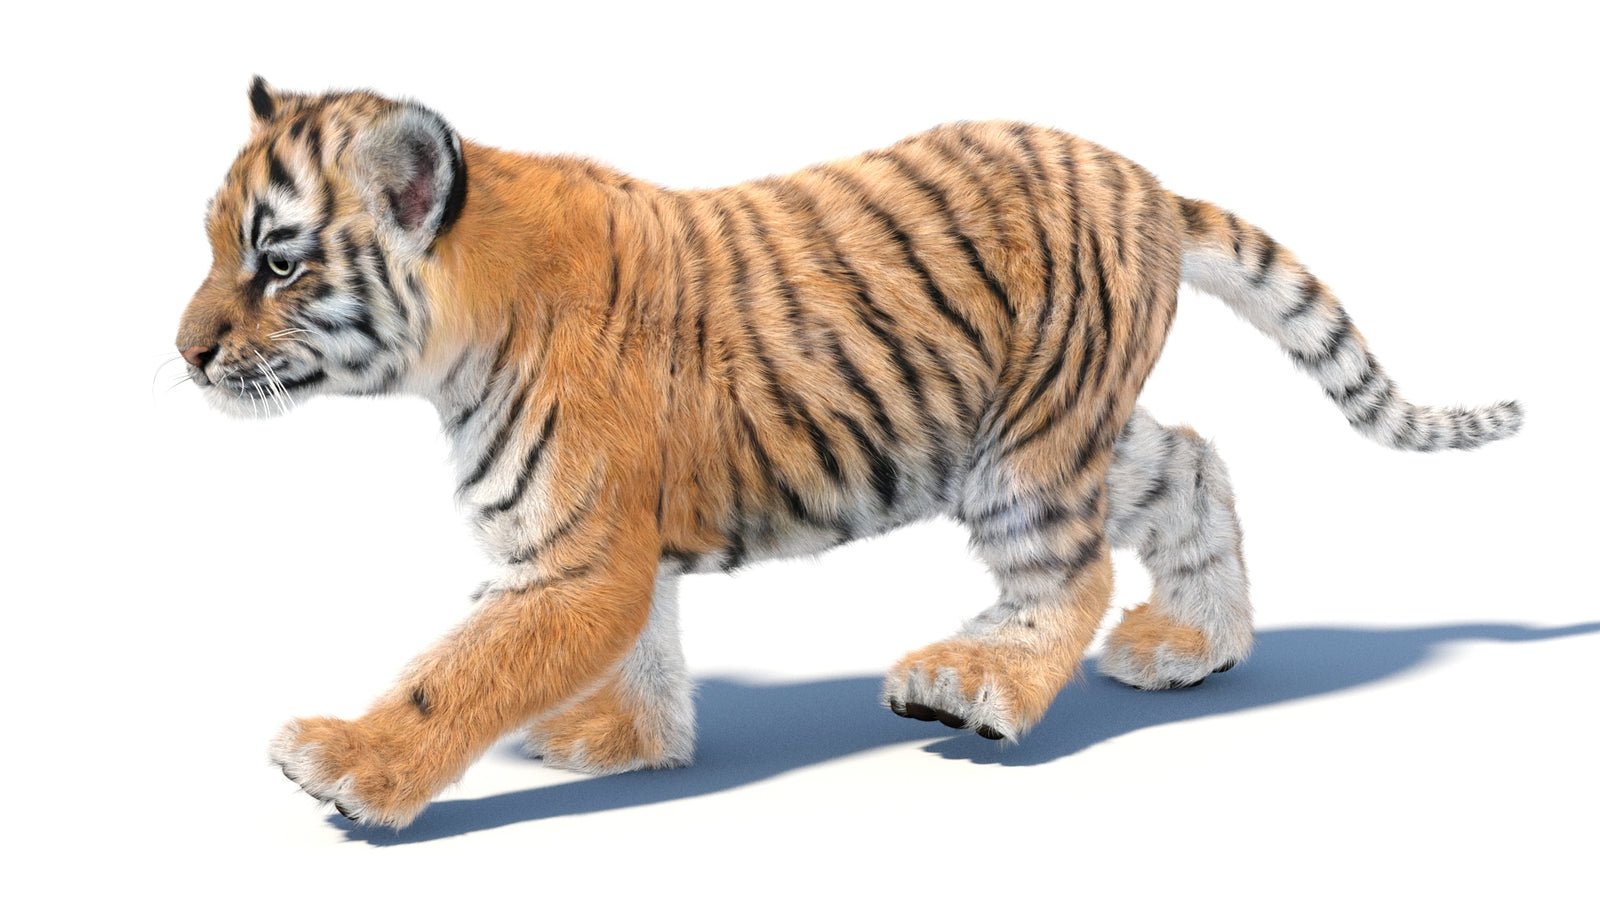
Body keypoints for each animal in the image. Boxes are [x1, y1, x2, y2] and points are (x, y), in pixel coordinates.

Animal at [175, 78, 1522, 828]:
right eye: (212, 243)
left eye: (277, 260)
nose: (183, 353)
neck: (454, 339)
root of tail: (1145, 182)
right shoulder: (614, 548)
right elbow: (645, 645)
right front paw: (628, 744)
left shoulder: (580, 555)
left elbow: (458, 669)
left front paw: (348, 764)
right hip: (1060, 423)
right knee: (1191, 460)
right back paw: (1193, 648)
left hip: (1024, 452)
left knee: (1072, 571)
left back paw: (976, 684)